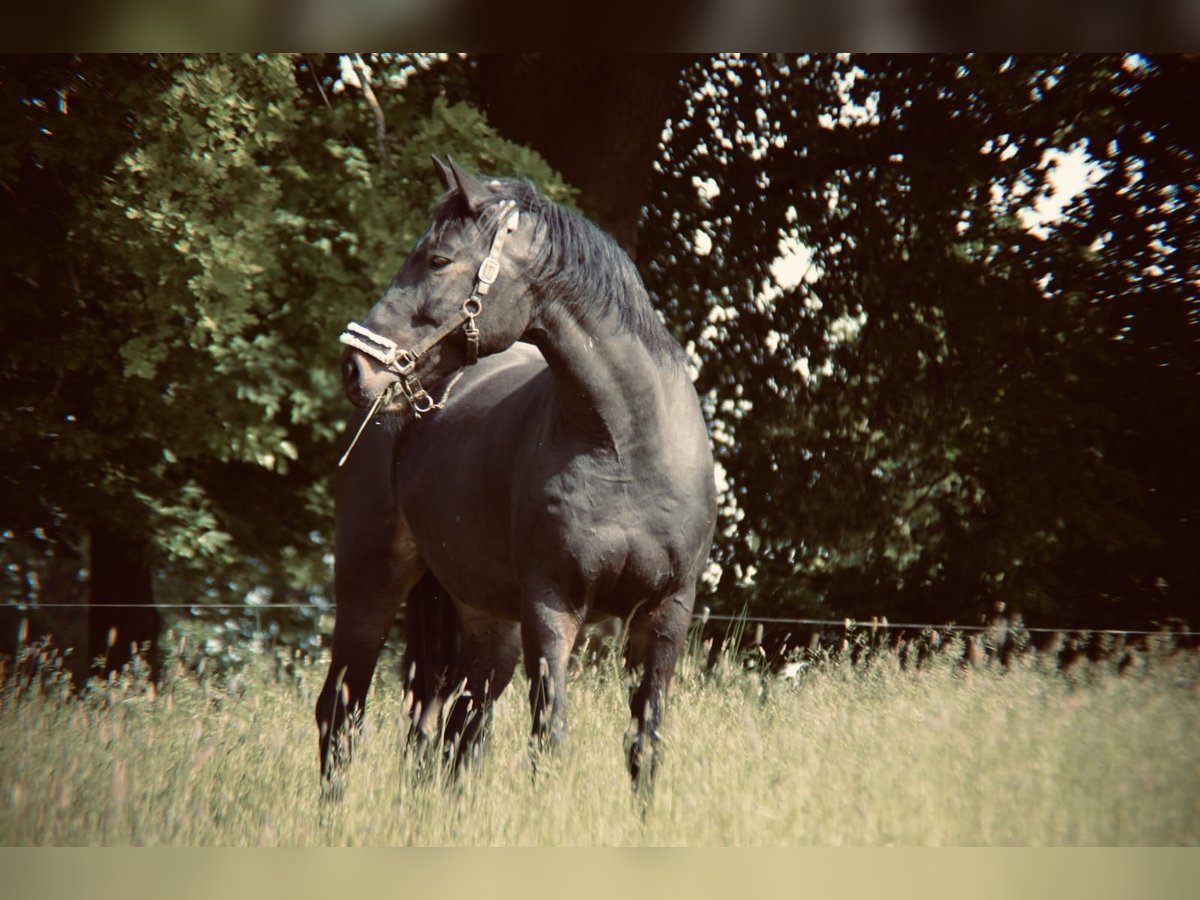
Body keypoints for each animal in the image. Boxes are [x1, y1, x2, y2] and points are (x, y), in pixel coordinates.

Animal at [314, 158, 715, 792]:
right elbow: (548, 740)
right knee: (343, 710)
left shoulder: (667, 613)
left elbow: (644, 746)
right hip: (368, 585)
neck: (628, 447)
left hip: (485, 623)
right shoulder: (552, 608)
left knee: (453, 730)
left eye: (437, 259)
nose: (355, 366)